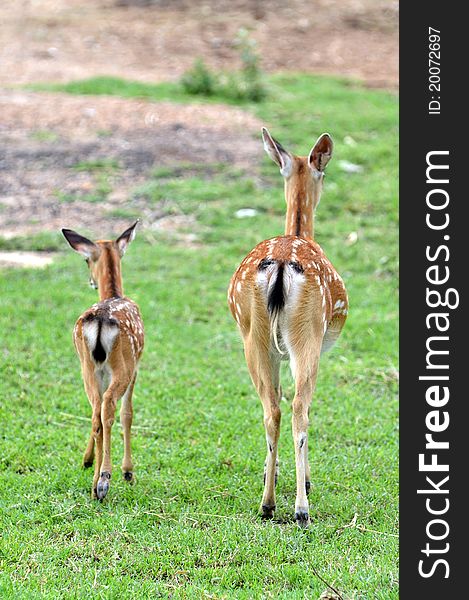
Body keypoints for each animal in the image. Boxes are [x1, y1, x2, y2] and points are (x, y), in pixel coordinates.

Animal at [61, 223, 144, 500]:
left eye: (87, 259)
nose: (90, 281)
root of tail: (99, 321)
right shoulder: (136, 366)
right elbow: (128, 413)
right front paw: (128, 471)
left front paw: (87, 461)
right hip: (121, 365)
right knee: (108, 407)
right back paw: (105, 479)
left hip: (87, 367)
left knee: (96, 411)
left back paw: (95, 481)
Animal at [227, 127, 348, 524]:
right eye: (323, 174)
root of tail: (281, 264)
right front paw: (304, 480)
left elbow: (276, 399)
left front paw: (274, 472)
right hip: (306, 334)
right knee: (298, 410)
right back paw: (300, 507)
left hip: (256, 338)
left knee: (272, 409)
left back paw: (267, 502)